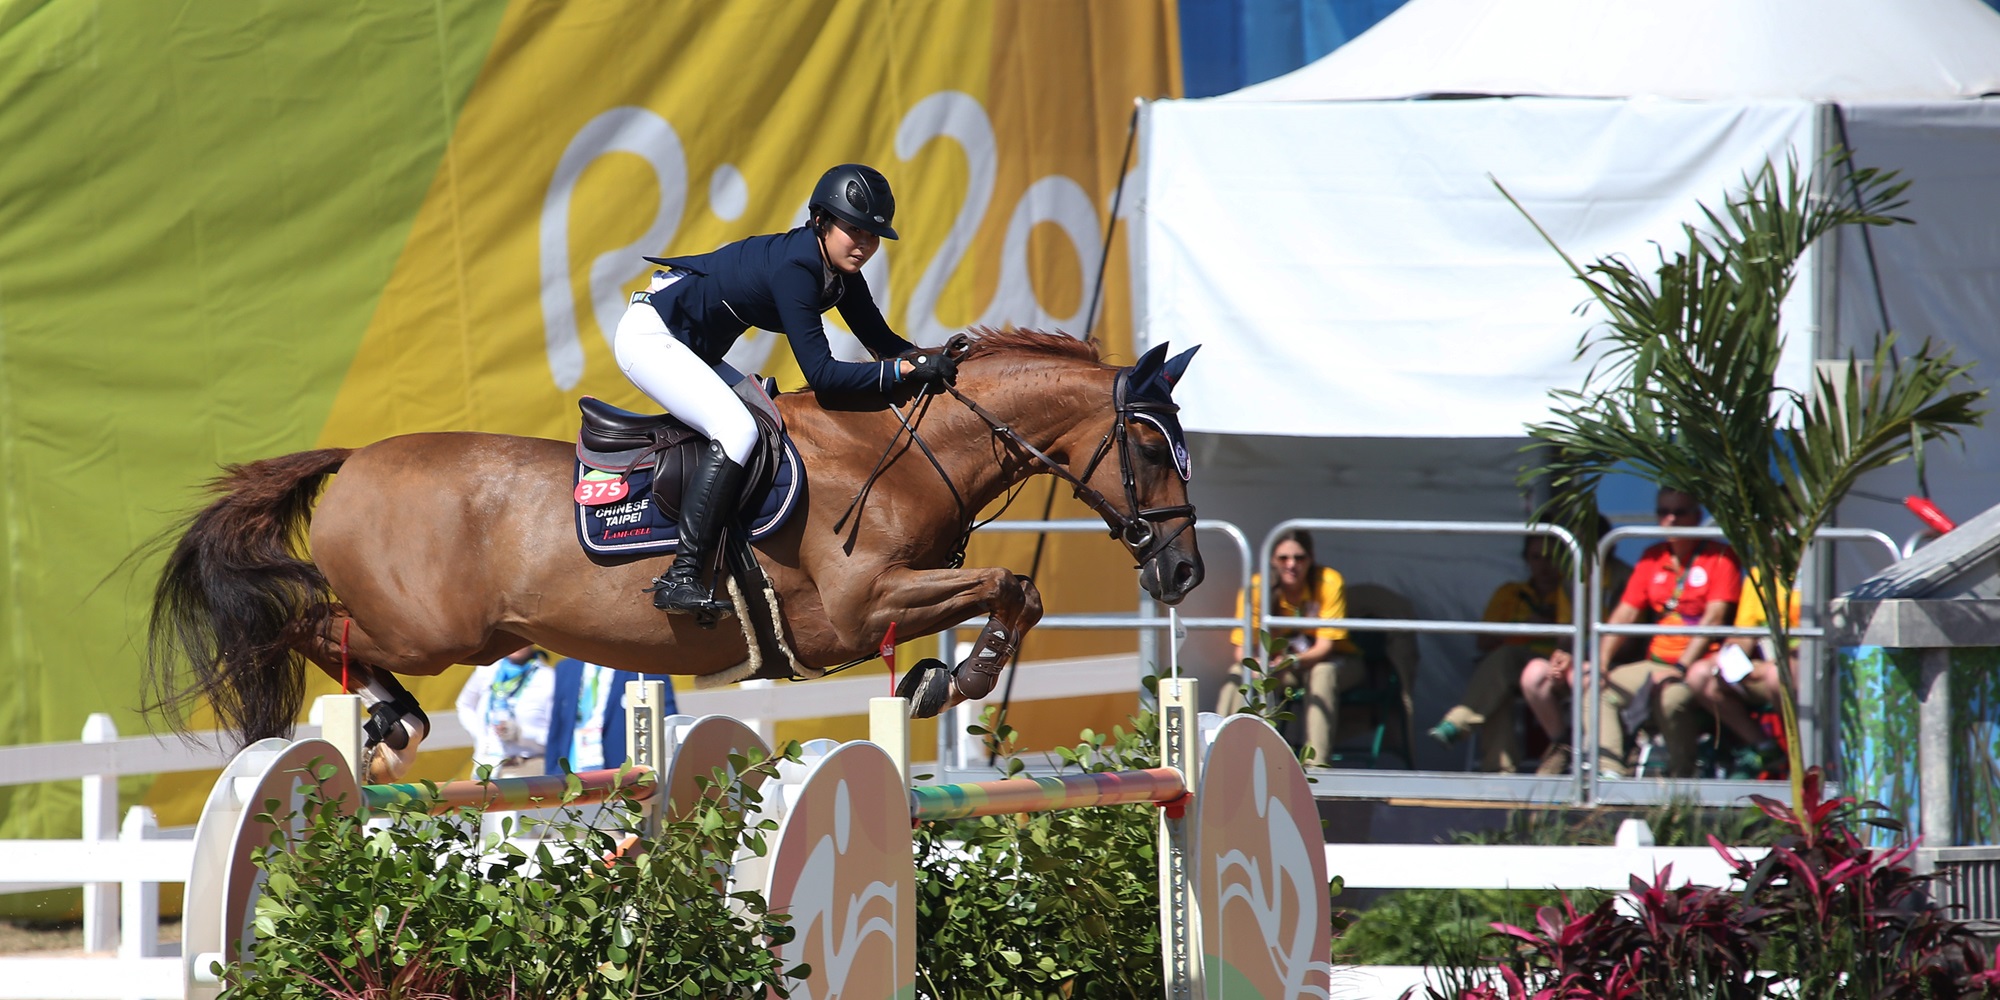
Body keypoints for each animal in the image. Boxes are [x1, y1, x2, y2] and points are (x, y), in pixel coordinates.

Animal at [145, 330, 1204, 780]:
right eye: (1152, 449)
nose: (1184, 573)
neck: (901, 453)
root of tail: (355, 460)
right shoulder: (857, 609)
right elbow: (1011, 584)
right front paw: (956, 679)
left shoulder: (882, 605)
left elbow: (1016, 590)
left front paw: (943, 679)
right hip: (428, 631)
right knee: (299, 625)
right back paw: (387, 721)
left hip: (450, 633)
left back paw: (386, 723)